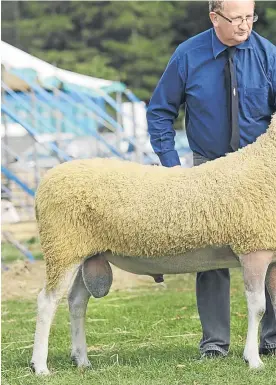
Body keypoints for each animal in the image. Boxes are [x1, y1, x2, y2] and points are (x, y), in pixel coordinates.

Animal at [30, 113, 276, 372]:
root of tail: (45, 180)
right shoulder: (253, 248)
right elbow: (259, 307)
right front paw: (253, 360)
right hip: (62, 248)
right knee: (47, 302)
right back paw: (40, 366)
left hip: (85, 253)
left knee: (76, 302)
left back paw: (82, 360)